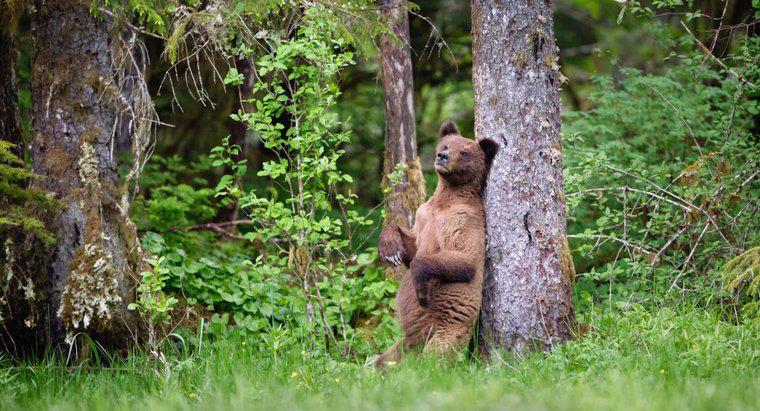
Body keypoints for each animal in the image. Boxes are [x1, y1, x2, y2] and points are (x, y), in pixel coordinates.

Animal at [376, 120, 498, 368]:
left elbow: (463, 258)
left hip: (449, 328)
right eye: (445, 144)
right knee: (388, 358)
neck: (445, 200)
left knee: (436, 356)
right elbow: (411, 244)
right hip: (408, 340)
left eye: (465, 152)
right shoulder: (424, 216)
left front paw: (421, 290)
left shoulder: (463, 221)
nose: (442, 156)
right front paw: (390, 249)